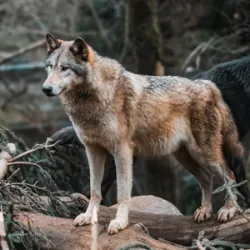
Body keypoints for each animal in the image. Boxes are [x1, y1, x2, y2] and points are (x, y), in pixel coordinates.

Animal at [43, 33, 250, 234]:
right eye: (50, 67)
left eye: (65, 68)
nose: (46, 89)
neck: (92, 97)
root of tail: (209, 85)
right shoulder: (93, 150)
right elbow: (94, 190)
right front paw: (88, 217)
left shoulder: (122, 151)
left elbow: (122, 193)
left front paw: (120, 222)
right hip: (185, 156)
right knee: (207, 178)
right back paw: (205, 210)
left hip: (205, 154)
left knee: (229, 175)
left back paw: (229, 210)